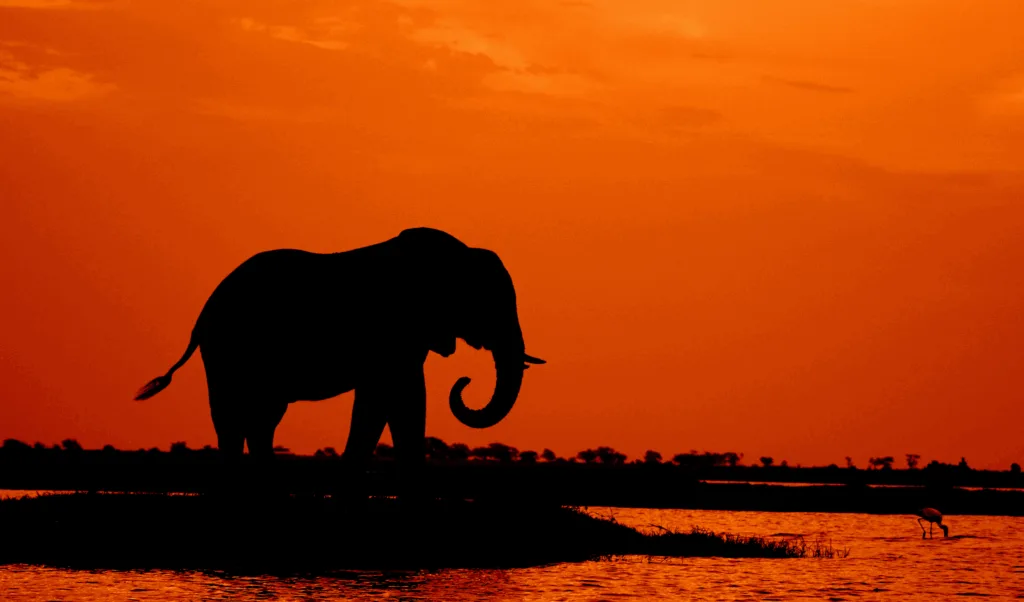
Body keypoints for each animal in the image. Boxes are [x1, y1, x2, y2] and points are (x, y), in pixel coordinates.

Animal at [134, 227, 545, 478]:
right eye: (488, 303)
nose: (465, 381)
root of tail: (203, 313)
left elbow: (391, 400)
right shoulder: (393, 329)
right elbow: (397, 396)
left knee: (262, 419)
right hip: (228, 348)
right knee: (233, 417)